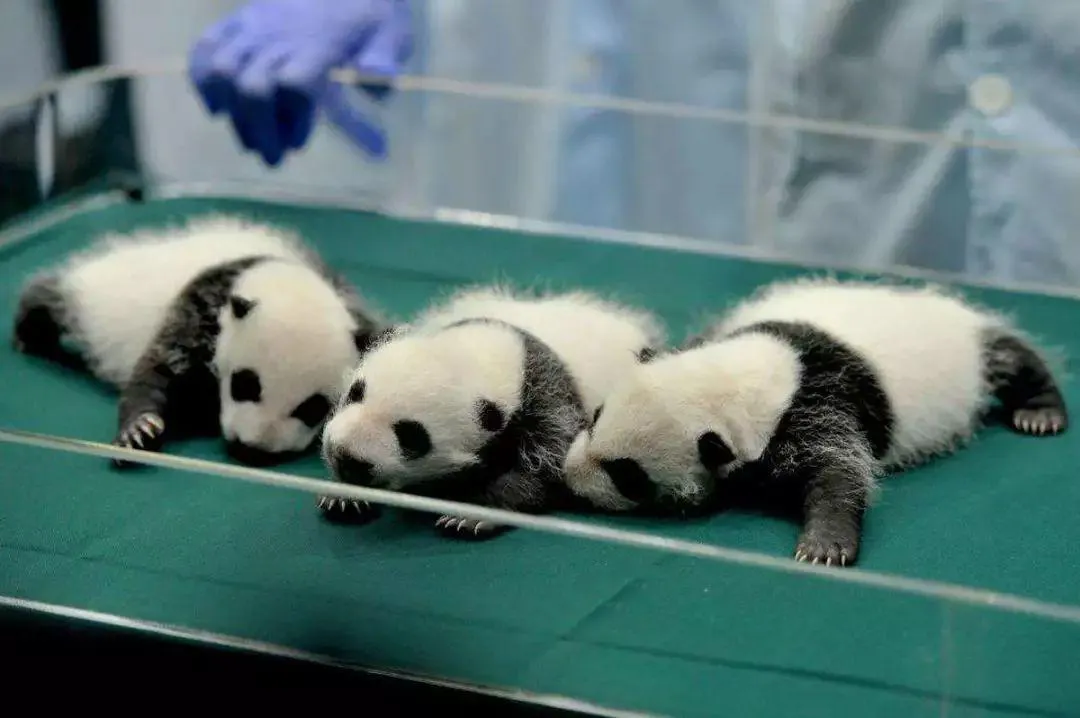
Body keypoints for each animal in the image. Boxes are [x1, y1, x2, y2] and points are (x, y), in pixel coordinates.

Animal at [12, 213, 384, 467]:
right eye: (245, 384)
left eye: (313, 407)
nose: (252, 448)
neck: (277, 273)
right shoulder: (202, 311)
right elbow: (158, 369)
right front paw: (139, 430)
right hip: (97, 293)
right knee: (53, 297)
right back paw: (29, 332)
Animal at [317, 284, 666, 538]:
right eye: (355, 392)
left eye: (411, 436)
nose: (347, 457)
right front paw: (344, 495)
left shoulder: (548, 401)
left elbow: (543, 465)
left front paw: (472, 516)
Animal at [562, 276, 1070, 567]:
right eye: (595, 416)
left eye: (627, 473)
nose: (569, 477)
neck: (749, 372)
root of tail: (957, 308)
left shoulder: (818, 406)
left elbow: (840, 470)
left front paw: (823, 546)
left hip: (972, 353)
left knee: (1011, 358)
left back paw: (1040, 414)